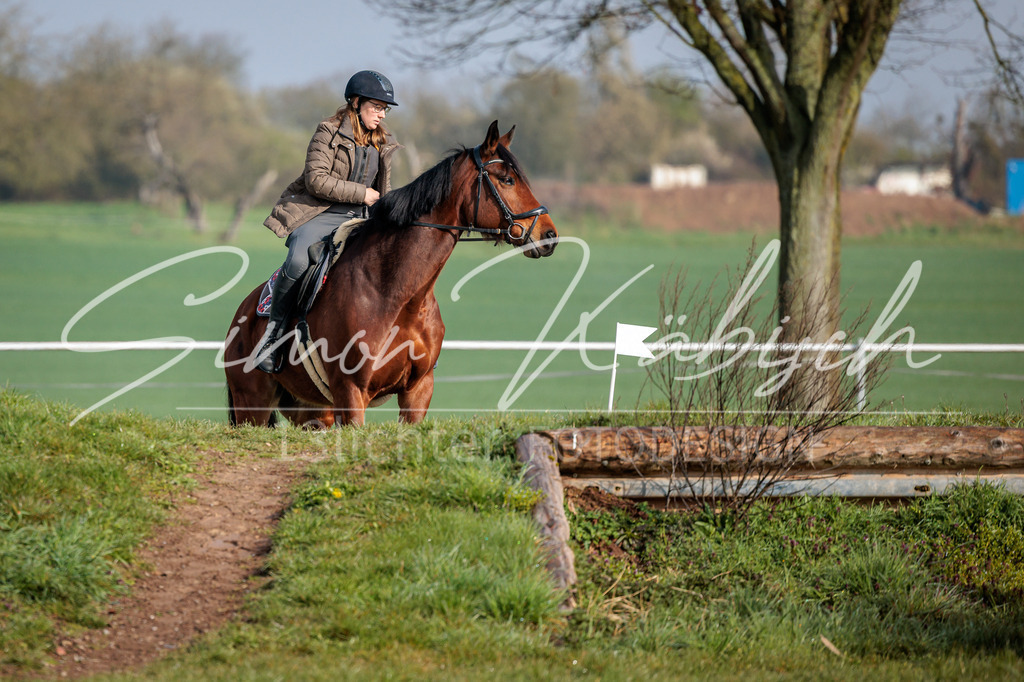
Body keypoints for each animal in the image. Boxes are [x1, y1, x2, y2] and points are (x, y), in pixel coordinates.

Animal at [223, 121, 559, 427]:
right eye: (507, 179)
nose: (549, 235)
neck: (398, 296)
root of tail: (242, 312)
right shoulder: (351, 392)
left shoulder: (418, 391)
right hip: (252, 405)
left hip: (312, 411)